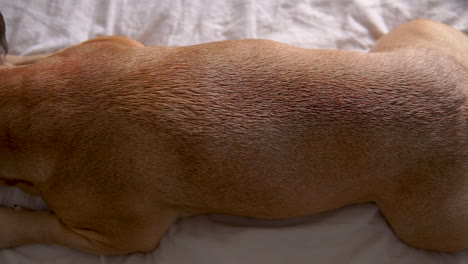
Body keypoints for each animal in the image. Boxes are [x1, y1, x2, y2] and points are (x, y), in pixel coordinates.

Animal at [0, 11, 466, 255]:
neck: (31, 103)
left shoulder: (122, 237)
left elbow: (42, 226)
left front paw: (10, 225)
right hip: (418, 31)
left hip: (426, 226)